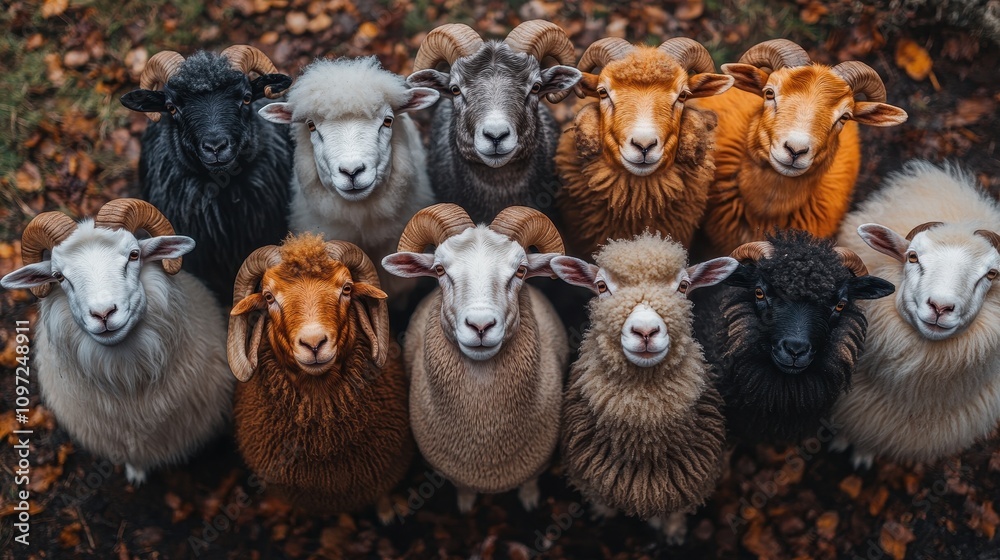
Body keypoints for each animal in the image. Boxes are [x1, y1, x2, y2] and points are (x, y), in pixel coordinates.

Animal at [381, 203, 569, 512]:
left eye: (521, 271)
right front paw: (466, 505)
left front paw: (530, 500)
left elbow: (530, 482)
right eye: (440, 269)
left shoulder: (537, 462)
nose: (480, 325)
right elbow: (464, 489)